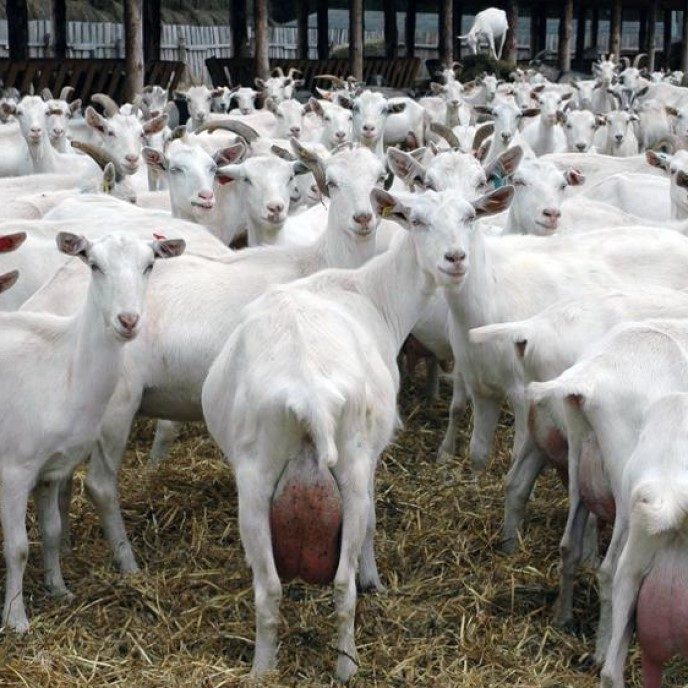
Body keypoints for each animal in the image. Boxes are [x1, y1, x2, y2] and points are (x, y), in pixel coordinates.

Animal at [0, 231, 185, 632]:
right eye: (94, 264)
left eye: (150, 265)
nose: (128, 320)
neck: (65, 365)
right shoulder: (15, 469)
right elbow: (18, 547)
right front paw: (16, 619)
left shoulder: (52, 469)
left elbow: (52, 531)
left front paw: (58, 589)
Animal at [200, 184, 513, 681]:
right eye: (416, 220)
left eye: (470, 216)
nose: (455, 258)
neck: (374, 294)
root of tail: (309, 394)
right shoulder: (374, 453)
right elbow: (371, 527)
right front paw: (374, 578)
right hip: (349, 460)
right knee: (343, 578)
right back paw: (347, 664)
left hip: (256, 477)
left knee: (273, 591)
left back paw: (267, 670)